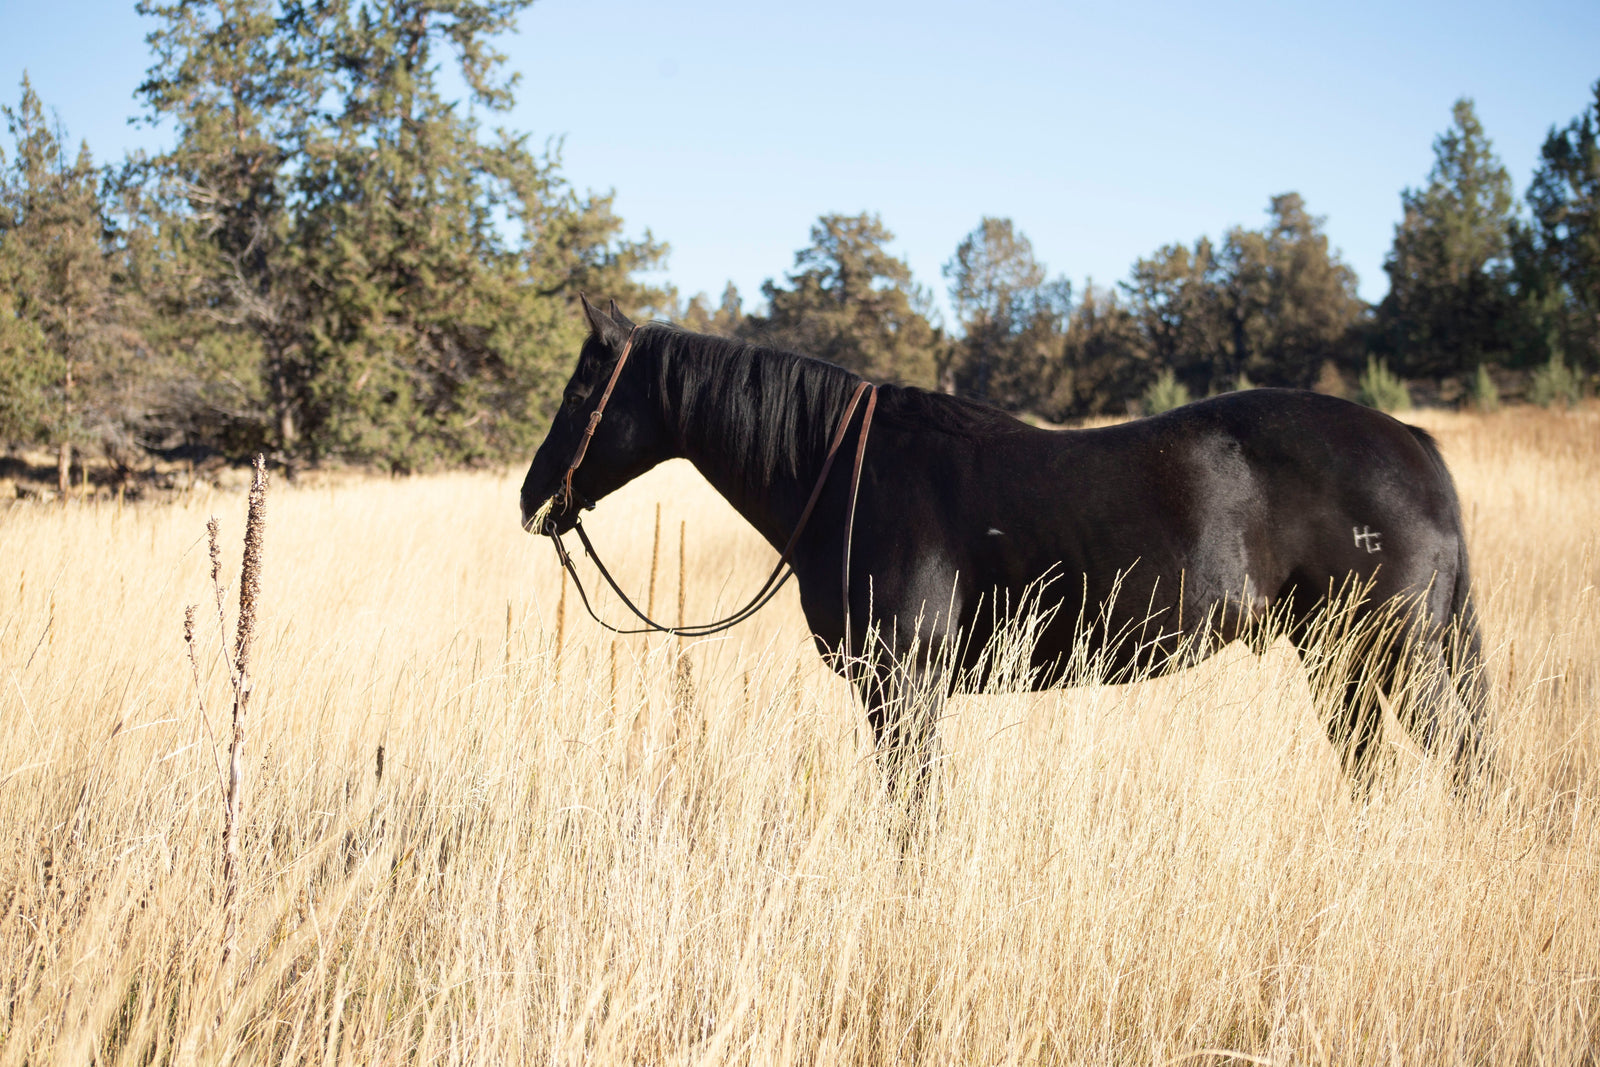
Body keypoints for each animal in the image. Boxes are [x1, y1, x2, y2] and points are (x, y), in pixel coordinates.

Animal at [520, 297, 1488, 809]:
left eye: (580, 392)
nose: (534, 498)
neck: (849, 475)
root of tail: (1409, 441)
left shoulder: (902, 689)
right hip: (1340, 657)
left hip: (1394, 654)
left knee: (1460, 762)